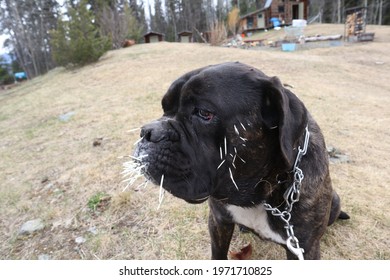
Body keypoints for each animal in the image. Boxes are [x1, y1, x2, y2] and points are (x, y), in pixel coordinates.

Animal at [133, 62, 348, 260]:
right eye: (164, 107)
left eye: (204, 113)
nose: (148, 132)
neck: (259, 196)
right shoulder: (219, 222)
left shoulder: (304, 249)